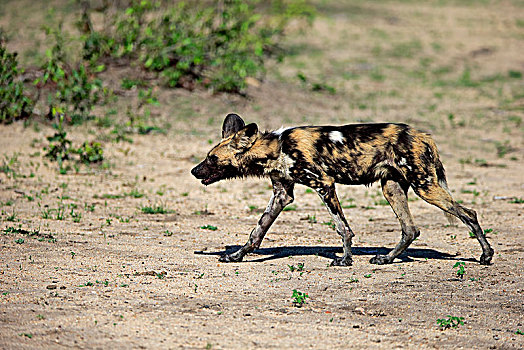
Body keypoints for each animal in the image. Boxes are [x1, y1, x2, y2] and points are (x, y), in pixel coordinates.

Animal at [190, 114, 494, 266]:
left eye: (212, 159)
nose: (194, 171)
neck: (277, 148)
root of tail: (423, 135)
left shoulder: (324, 184)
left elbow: (342, 228)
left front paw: (345, 259)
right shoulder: (282, 194)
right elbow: (257, 231)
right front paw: (237, 256)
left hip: (425, 187)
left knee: (469, 213)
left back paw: (486, 256)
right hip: (392, 188)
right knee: (411, 229)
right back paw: (386, 259)